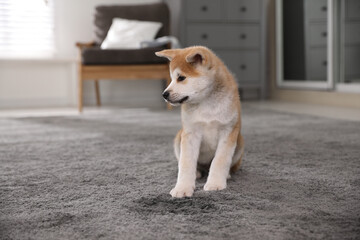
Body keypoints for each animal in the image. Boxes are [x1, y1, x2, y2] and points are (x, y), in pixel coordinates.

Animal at [155, 46, 245, 198]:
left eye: (181, 78)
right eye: (172, 78)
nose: (164, 94)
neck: (206, 103)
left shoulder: (228, 131)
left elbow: (220, 161)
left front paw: (215, 183)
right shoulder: (191, 133)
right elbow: (186, 163)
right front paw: (182, 188)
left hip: (239, 142)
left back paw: (226, 175)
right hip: (179, 138)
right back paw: (197, 172)